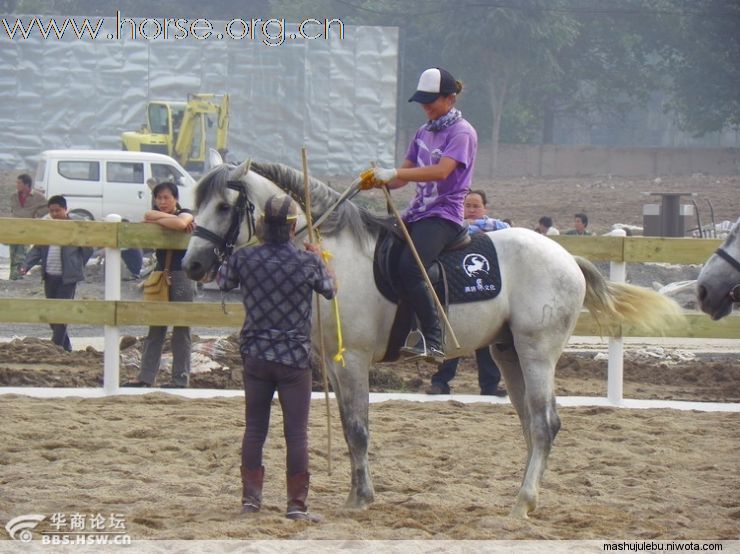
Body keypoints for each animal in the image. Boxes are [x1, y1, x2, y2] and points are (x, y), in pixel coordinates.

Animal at [182, 153, 684, 516]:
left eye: (224, 206)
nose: (193, 264)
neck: (331, 251)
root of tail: (567, 257)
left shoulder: (353, 360)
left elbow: (357, 429)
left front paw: (360, 500)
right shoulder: (334, 364)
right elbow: (346, 426)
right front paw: (355, 494)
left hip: (537, 351)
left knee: (545, 424)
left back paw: (522, 504)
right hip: (508, 354)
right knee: (530, 424)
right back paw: (527, 497)